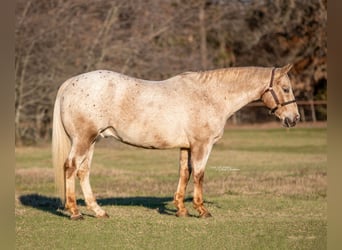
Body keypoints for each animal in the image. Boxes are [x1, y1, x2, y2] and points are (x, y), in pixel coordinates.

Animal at [51, 64, 300, 219]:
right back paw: (75, 212)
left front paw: (181, 209)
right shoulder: (202, 145)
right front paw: (201, 210)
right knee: (71, 168)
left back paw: (98, 211)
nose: (294, 119)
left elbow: (184, 173)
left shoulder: (186, 147)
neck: (210, 96)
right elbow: (199, 174)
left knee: (83, 172)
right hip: (83, 140)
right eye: (286, 88)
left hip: (93, 141)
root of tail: (70, 83)